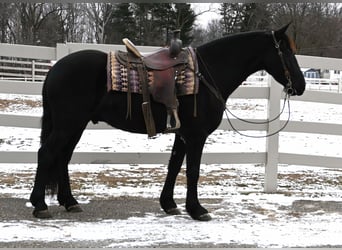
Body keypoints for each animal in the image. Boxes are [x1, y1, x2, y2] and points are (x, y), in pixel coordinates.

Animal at [30, 24, 306, 221]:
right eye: (286, 52)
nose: (301, 85)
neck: (205, 74)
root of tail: (54, 69)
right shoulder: (196, 136)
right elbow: (192, 171)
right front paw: (197, 209)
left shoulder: (182, 134)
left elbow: (174, 166)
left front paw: (169, 204)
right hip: (67, 125)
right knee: (46, 154)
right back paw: (40, 205)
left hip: (74, 126)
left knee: (62, 157)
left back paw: (70, 202)